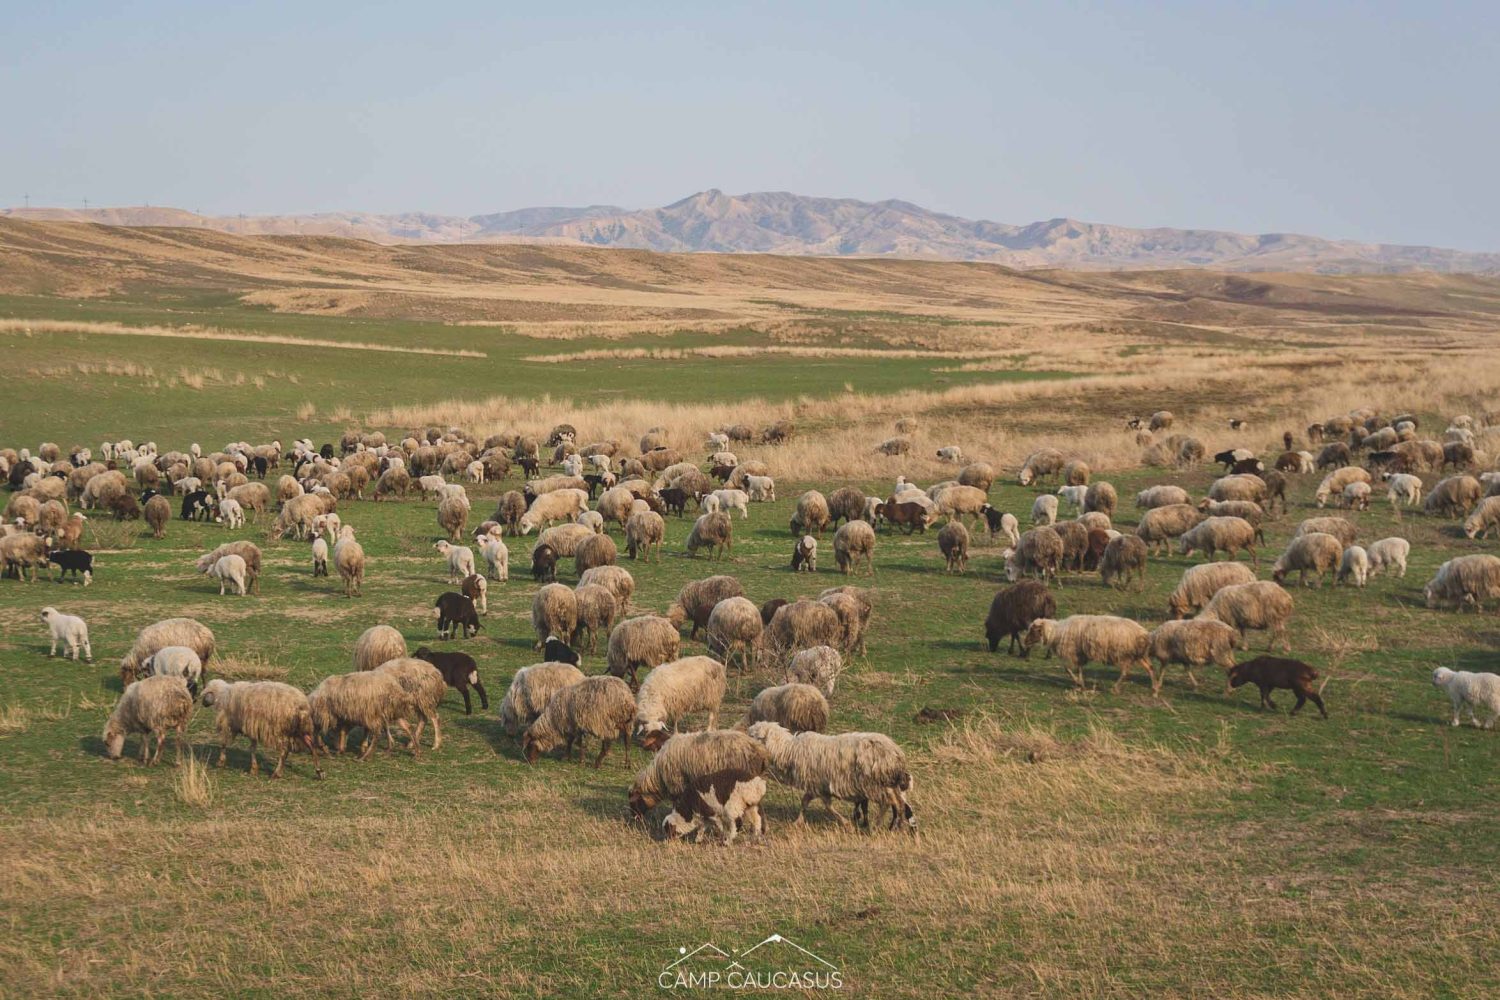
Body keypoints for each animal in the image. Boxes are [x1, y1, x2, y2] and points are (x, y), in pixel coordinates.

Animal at [747, 722, 915, 832]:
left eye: (754, 736)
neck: (788, 750)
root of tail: (896, 754)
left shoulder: (818, 785)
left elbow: (825, 806)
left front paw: (846, 824)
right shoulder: (816, 786)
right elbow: (805, 802)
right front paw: (798, 821)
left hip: (874, 784)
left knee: (887, 803)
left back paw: (878, 825)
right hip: (888, 784)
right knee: (898, 803)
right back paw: (897, 825)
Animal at [1023, 616, 1154, 693]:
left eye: (1033, 630)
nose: (1025, 642)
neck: (1056, 632)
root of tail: (1144, 633)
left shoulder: (1072, 652)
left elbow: (1067, 669)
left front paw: (1078, 682)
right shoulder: (1079, 654)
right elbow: (1079, 669)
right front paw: (1081, 684)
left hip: (1124, 654)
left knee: (1126, 672)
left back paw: (1115, 688)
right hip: (1139, 655)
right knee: (1150, 668)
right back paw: (1155, 688)